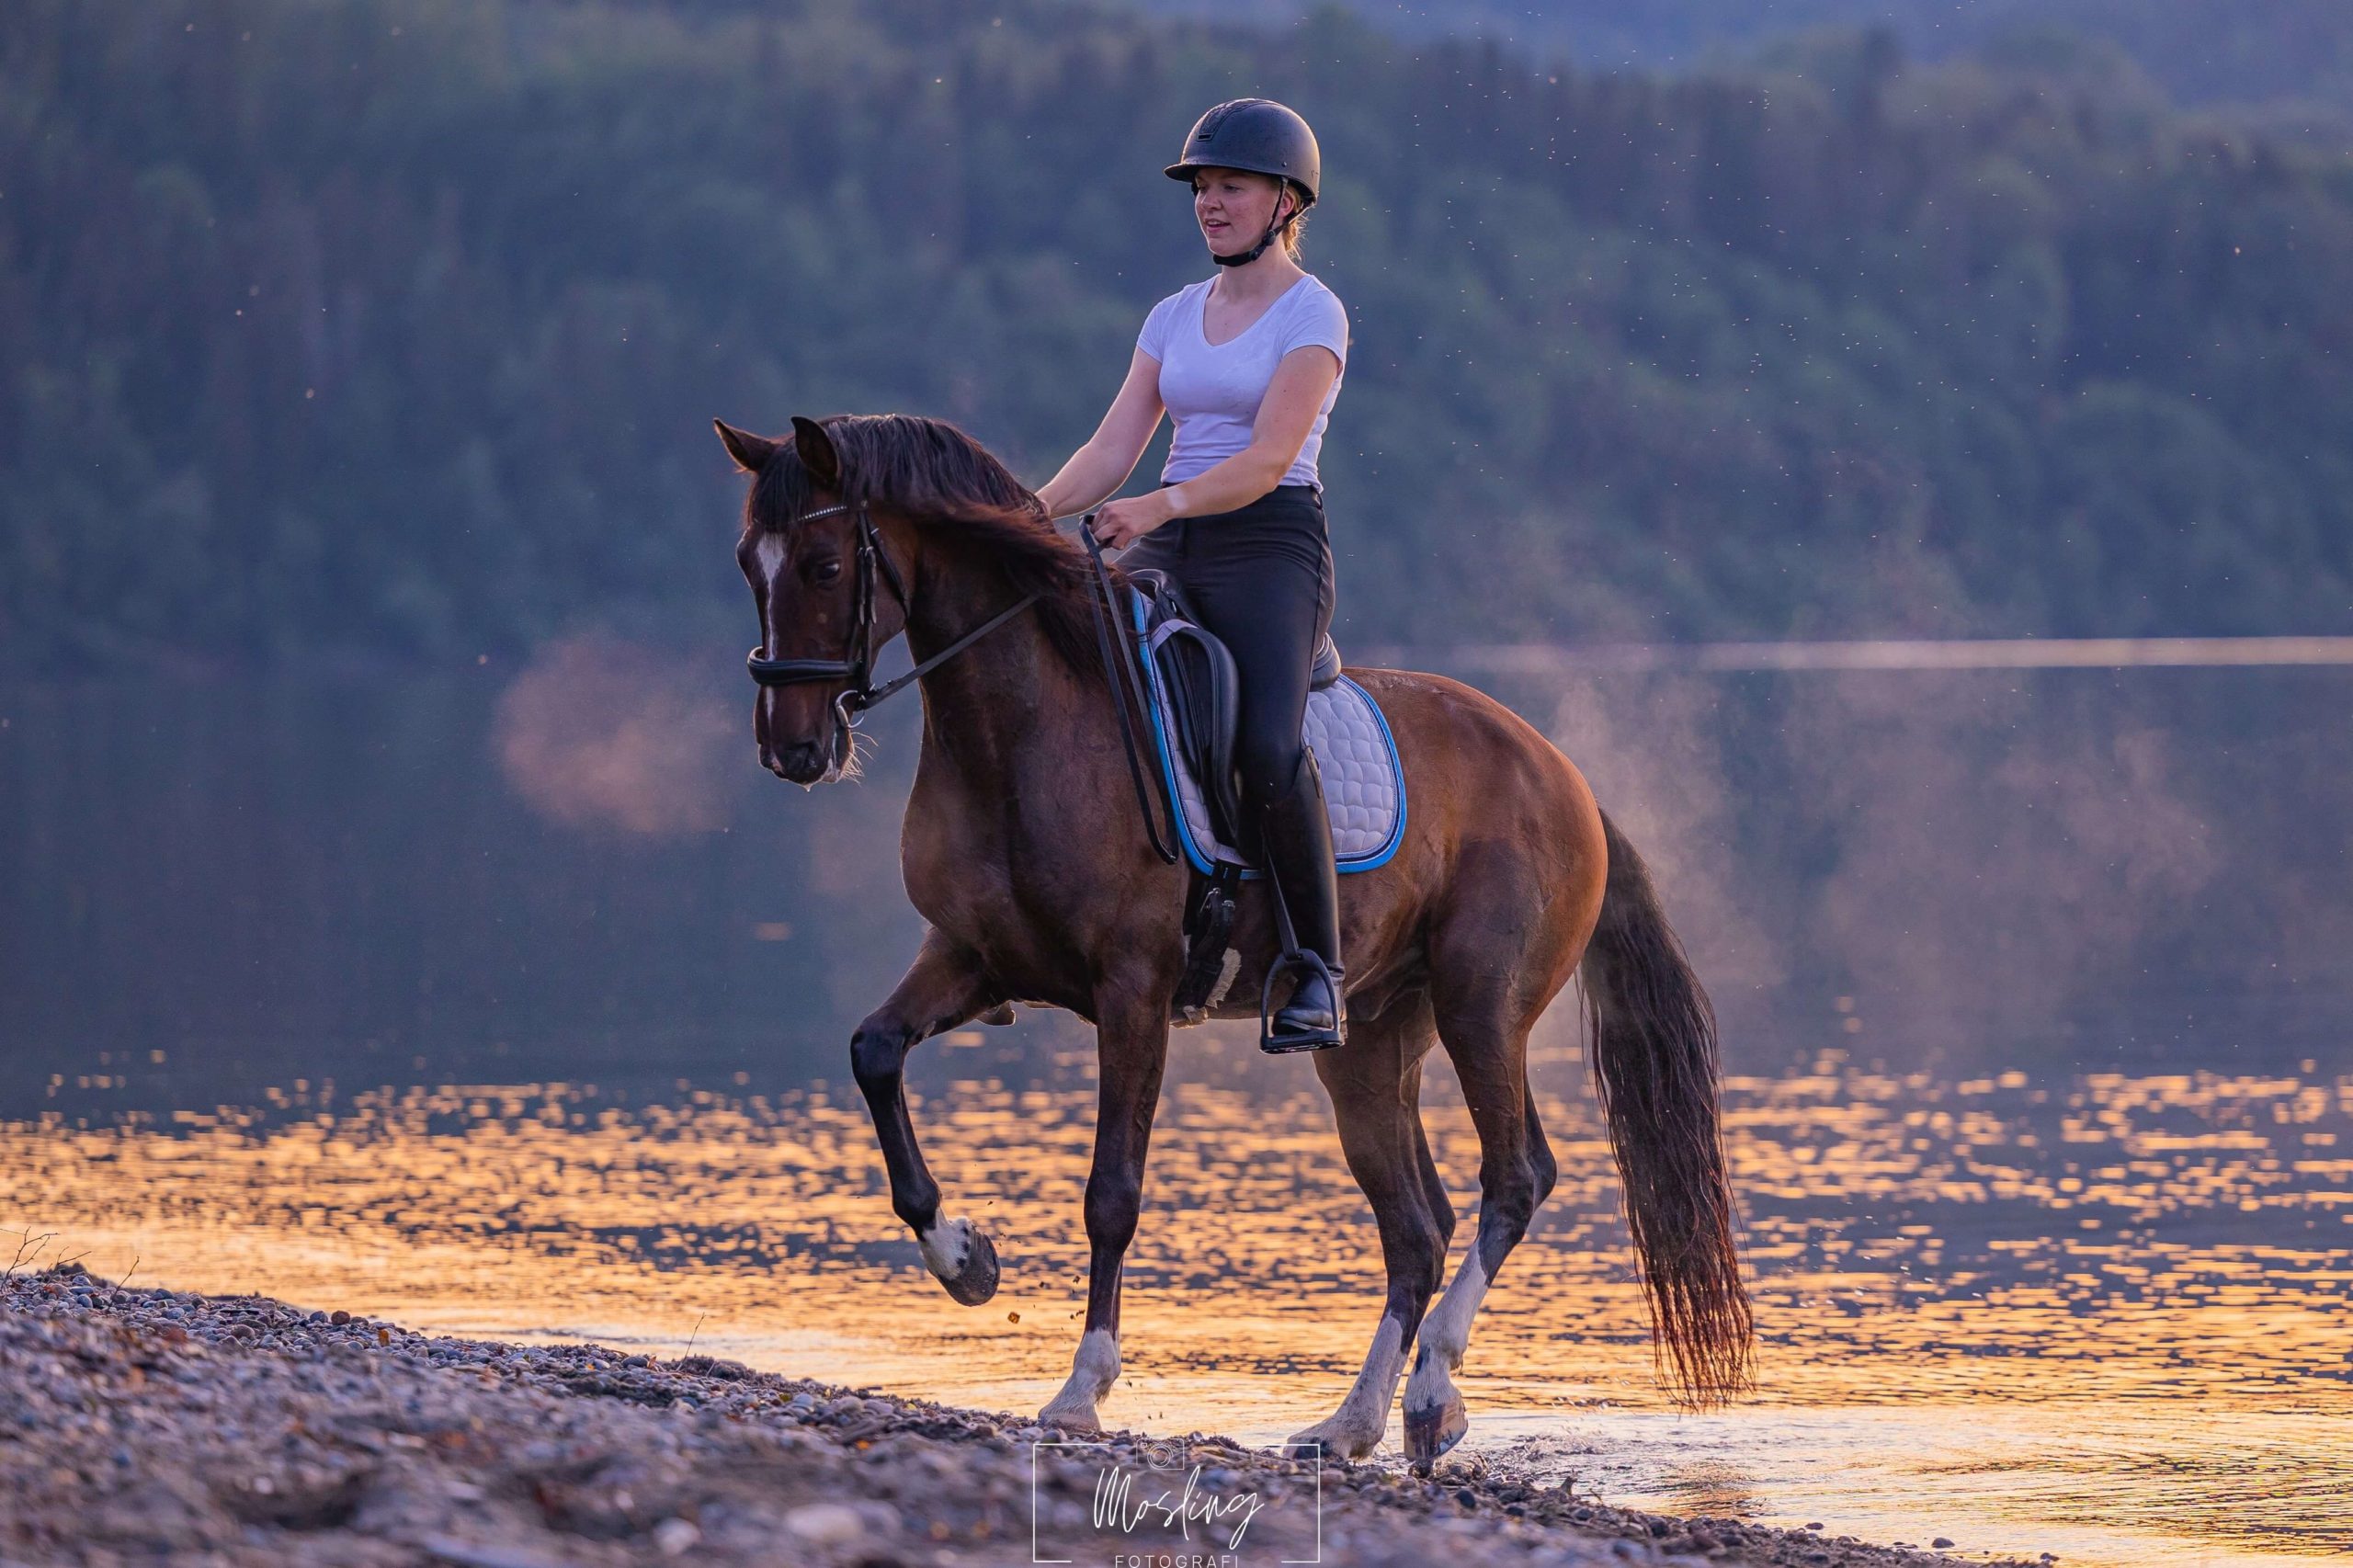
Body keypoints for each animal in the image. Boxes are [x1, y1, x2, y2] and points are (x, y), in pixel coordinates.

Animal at [715, 409, 1750, 1460]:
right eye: (750, 565)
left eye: (823, 565)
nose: (791, 747)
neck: (1026, 727)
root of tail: (1563, 774)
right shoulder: (970, 958)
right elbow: (874, 1053)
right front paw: (964, 1257)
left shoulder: (1132, 989)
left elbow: (1112, 1191)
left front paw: (1081, 1387)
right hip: (1370, 1041)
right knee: (1416, 1227)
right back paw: (1350, 1421)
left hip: (1480, 1007)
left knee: (1515, 1177)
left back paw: (1431, 1391)